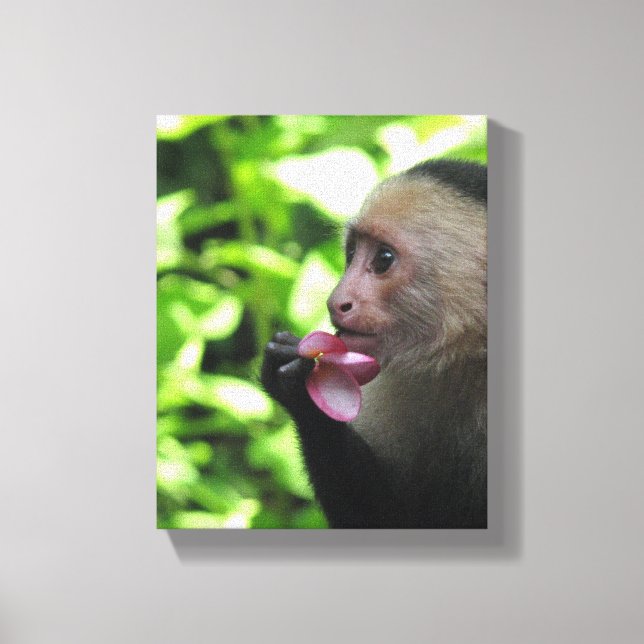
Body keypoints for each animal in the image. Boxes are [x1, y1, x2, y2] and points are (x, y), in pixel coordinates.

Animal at [261, 159, 487, 528]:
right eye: (352, 252)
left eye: (383, 259)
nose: (335, 302)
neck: (471, 357)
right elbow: (387, 517)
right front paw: (298, 391)